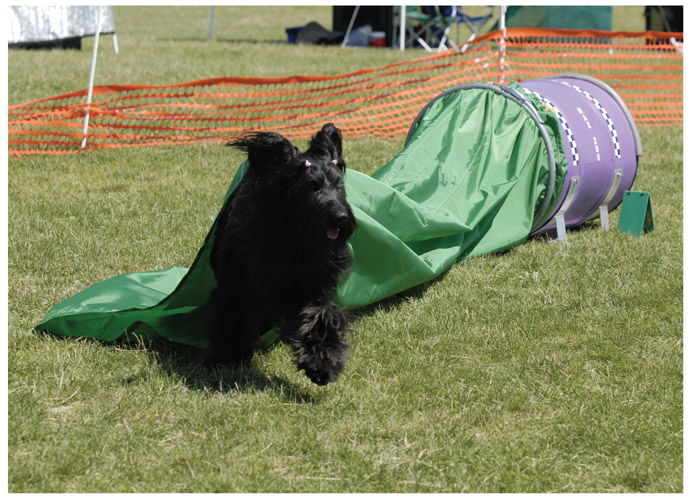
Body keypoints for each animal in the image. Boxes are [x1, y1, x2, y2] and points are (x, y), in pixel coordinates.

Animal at [206, 123, 354, 384]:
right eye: (312, 185)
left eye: (339, 186)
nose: (341, 217)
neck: (291, 237)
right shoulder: (237, 281)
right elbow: (232, 315)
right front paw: (226, 357)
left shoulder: (312, 284)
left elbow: (319, 315)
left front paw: (321, 363)